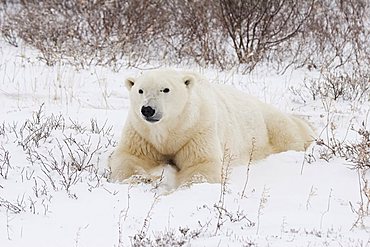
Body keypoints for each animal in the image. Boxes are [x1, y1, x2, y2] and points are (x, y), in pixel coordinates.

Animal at [110, 68, 316, 186]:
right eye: (140, 90)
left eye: (165, 89)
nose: (147, 109)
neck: (172, 129)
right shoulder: (141, 133)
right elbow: (129, 157)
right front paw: (144, 178)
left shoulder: (196, 130)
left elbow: (201, 164)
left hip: (269, 123)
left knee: (290, 133)